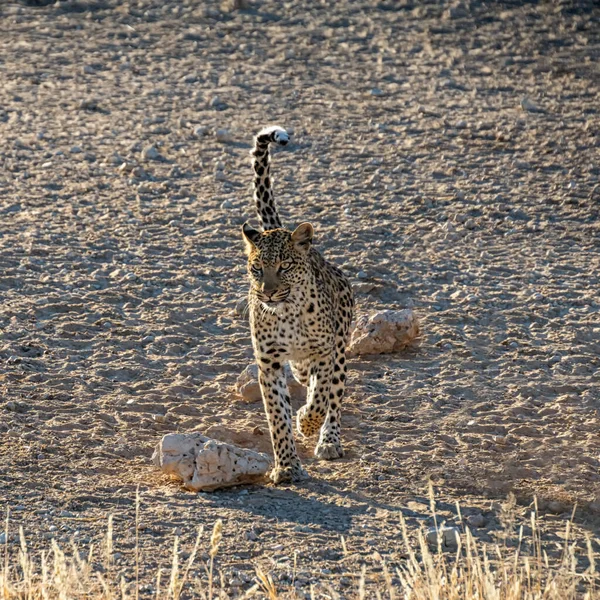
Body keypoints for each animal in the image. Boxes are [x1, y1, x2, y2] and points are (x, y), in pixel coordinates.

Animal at [241, 125, 354, 482]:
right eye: (257, 268)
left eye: (284, 266)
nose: (267, 293)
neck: (287, 314)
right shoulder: (269, 364)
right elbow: (277, 414)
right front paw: (287, 464)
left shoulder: (325, 351)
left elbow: (321, 397)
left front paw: (306, 421)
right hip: (300, 364)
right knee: (308, 379)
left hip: (340, 348)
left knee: (334, 396)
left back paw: (328, 440)